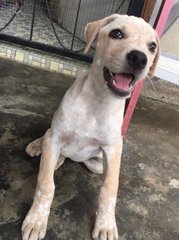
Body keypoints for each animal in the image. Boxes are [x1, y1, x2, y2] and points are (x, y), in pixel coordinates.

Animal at [21, 14, 160, 239]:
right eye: (116, 34)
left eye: (152, 46)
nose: (139, 59)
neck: (98, 101)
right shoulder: (56, 138)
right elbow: (46, 184)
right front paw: (36, 220)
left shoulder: (113, 150)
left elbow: (109, 189)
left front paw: (106, 225)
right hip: (53, 136)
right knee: (48, 137)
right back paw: (38, 146)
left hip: (97, 164)